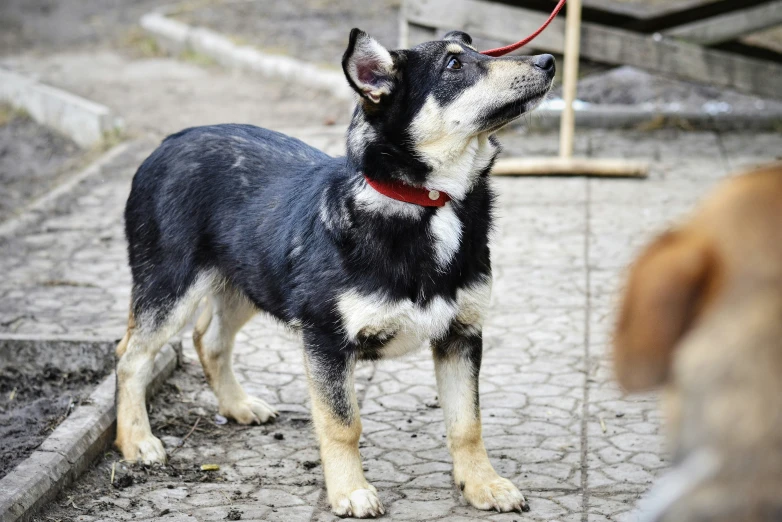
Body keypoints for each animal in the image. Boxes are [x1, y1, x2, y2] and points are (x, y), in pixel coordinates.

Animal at [115, 27, 556, 512]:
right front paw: (350, 490)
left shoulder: (461, 336)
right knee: (129, 358)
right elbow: (343, 425)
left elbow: (467, 424)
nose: (549, 62)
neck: (429, 202)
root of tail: (168, 142)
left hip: (246, 282)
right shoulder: (326, 340)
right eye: (454, 65)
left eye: (478, 50)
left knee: (208, 340)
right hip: (171, 288)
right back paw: (136, 441)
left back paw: (237, 405)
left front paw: (482, 483)